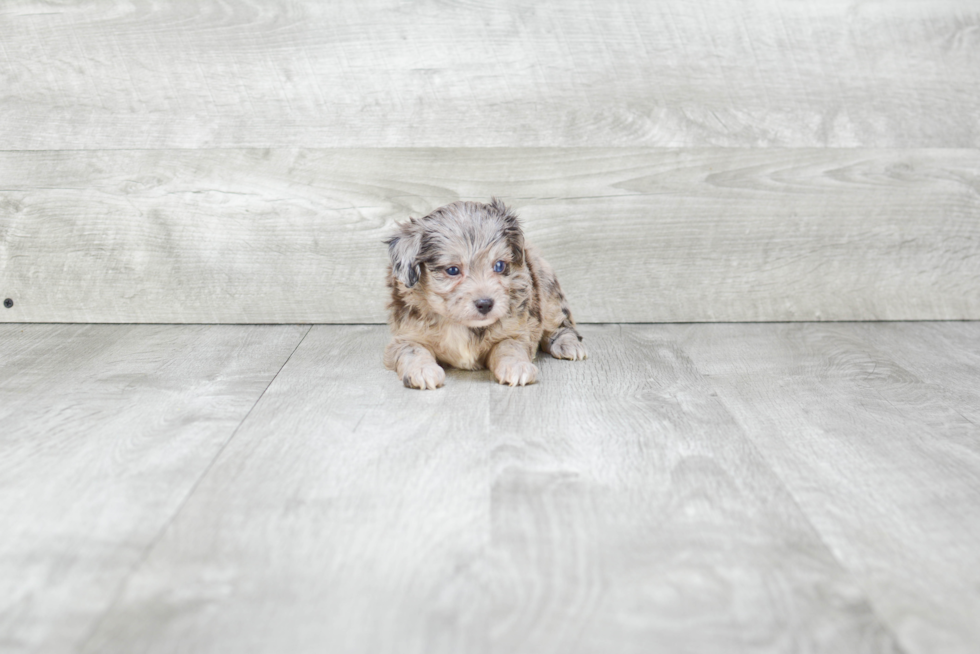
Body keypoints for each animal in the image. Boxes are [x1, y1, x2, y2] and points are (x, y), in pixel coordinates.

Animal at [382, 200, 580, 390]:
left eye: (499, 266)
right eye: (452, 270)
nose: (485, 303)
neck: (461, 324)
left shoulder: (516, 331)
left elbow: (509, 346)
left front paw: (516, 366)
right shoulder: (405, 336)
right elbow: (413, 351)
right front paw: (422, 370)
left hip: (547, 289)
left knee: (560, 324)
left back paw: (568, 345)